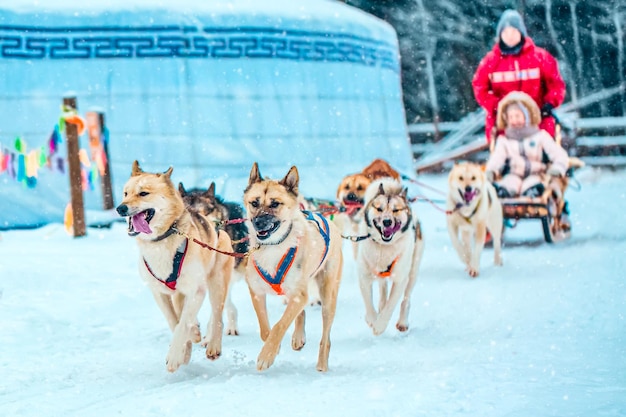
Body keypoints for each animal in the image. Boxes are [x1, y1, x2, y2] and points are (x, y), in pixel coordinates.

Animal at [116, 161, 233, 372]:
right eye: (125, 193)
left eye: (143, 193)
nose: (120, 208)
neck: (161, 241)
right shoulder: (159, 292)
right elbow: (174, 321)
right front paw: (185, 349)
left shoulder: (197, 290)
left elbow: (182, 323)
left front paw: (175, 356)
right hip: (179, 294)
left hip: (216, 284)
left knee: (217, 315)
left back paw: (213, 345)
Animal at [243, 162, 342, 370]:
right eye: (254, 203)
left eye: (274, 204)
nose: (258, 223)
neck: (273, 247)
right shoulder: (256, 292)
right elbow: (265, 329)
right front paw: (274, 347)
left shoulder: (299, 294)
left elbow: (279, 325)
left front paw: (267, 354)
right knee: (300, 312)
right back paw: (298, 337)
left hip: (328, 296)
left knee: (325, 337)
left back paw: (322, 364)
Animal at [356, 177, 424, 334]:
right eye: (379, 209)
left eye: (396, 210)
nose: (387, 221)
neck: (383, 246)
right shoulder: (364, 276)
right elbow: (368, 303)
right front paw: (372, 319)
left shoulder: (400, 279)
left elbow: (391, 305)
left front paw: (380, 325)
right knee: (382, 290)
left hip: (413, 272)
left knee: (406, 298)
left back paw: (402, 322)